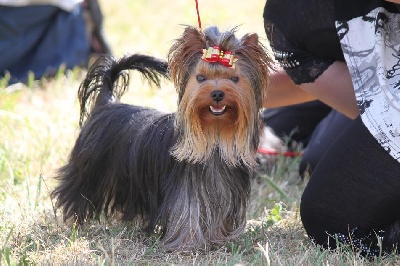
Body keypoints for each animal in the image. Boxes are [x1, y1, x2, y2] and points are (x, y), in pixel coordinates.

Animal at [52, 26, 272, 252]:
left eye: (235, 79)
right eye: (200, 78)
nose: (218, 93)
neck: (215, 137)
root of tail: (107, 103)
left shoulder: (226, 193)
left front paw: (217, 239)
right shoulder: (184, 193)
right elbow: (186, 215)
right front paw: (187, 244)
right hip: (89, 171)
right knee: (77, 192)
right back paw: (74, 220)